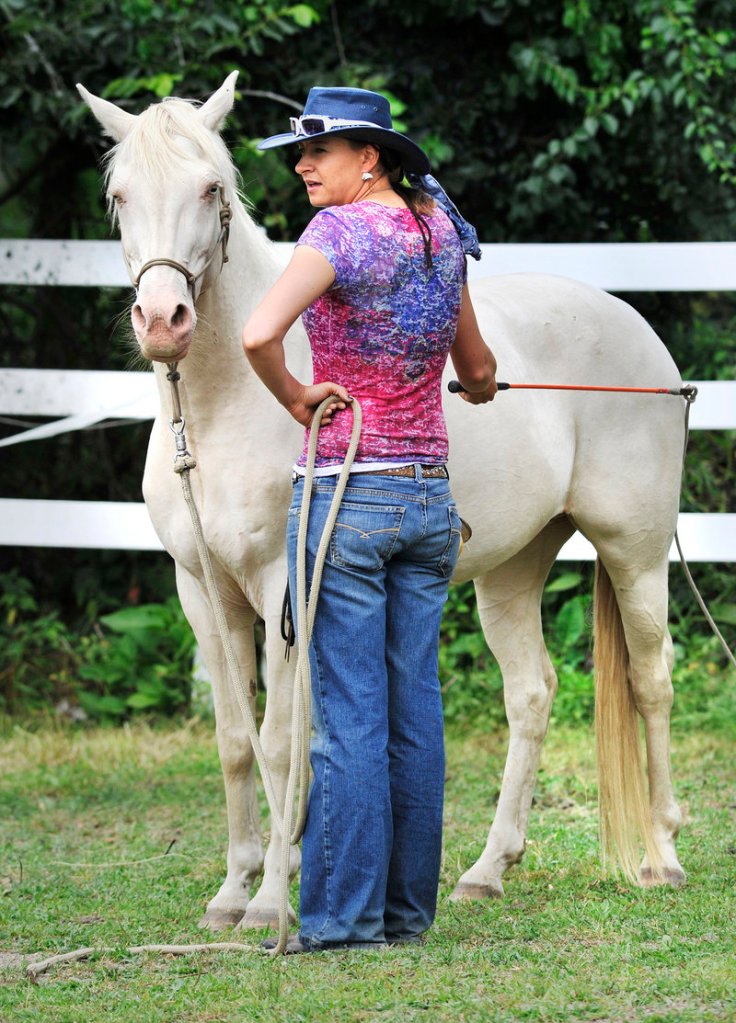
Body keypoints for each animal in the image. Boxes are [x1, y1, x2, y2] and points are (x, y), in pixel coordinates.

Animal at [77, 72, 687, 928]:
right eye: (119, 196)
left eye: (210, 189)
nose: (163, 320)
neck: (225, 408)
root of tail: (640, 332)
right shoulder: (202, 589)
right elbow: (233, 740)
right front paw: (233, 890)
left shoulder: (286, 581)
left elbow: (280, 739)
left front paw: (272, 899)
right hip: (513, 569)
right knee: (532, 694)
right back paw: (487, 869)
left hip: (635, 552)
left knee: (650, 681)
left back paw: (663, 854)